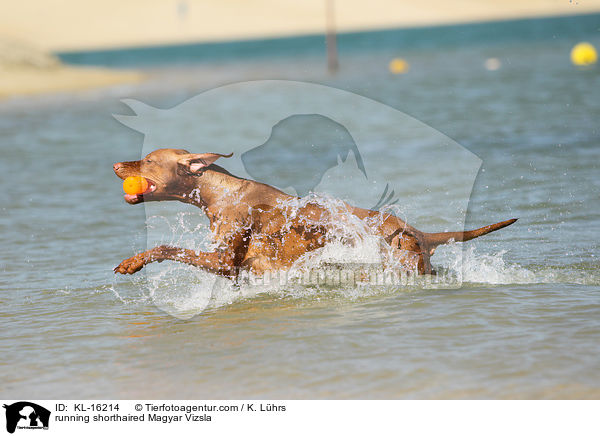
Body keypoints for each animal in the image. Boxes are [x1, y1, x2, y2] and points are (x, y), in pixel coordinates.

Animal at [112, 149, 516, 276]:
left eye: (148, 160)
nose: (116, 164)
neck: (219, 192)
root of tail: (418, 231)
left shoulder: (224, 262)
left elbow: (165, 247)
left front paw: (133, 261)